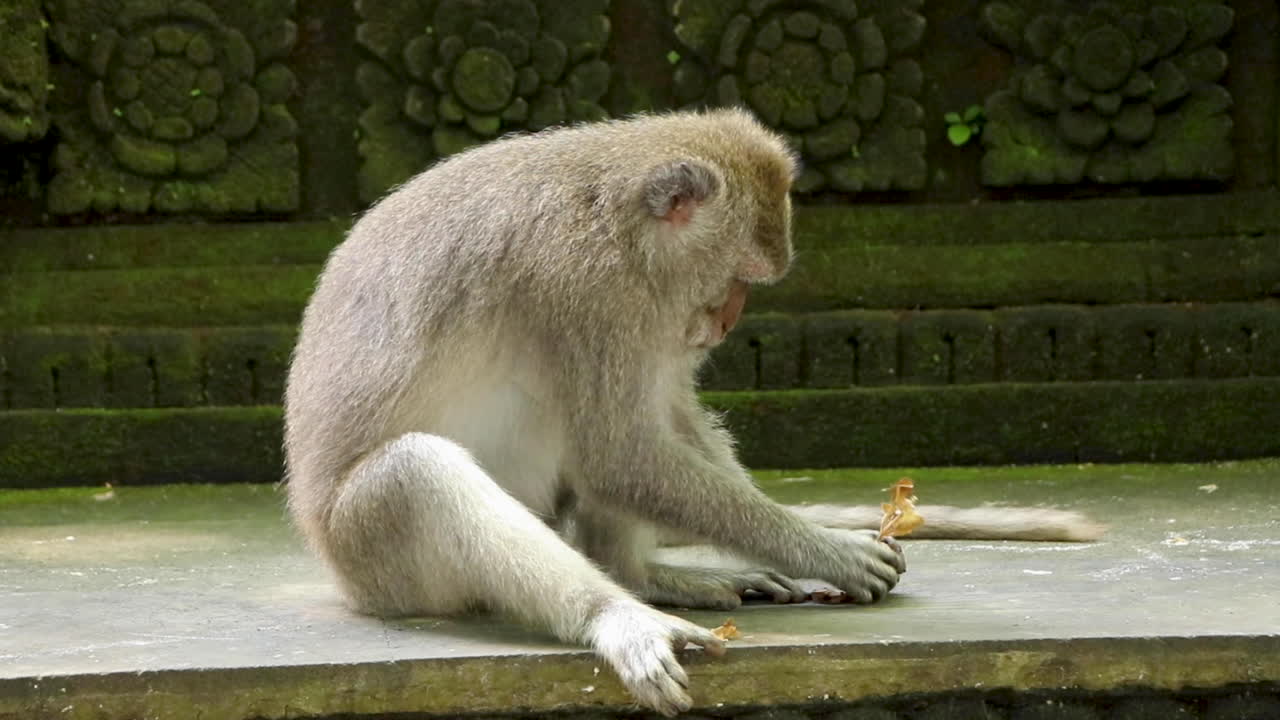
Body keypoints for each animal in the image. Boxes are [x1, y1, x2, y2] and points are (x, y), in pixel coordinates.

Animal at [283, 108, 1100, 717]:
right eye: (738, 275)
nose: (728, 322)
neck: (615, 215)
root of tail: (338, 569)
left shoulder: (652, 317)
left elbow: (666, 418)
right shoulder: (592, 292)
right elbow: (621, 453)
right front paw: (824, 548)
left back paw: (645, 574)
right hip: (377, 562)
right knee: (419, 474)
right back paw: (619, 611)